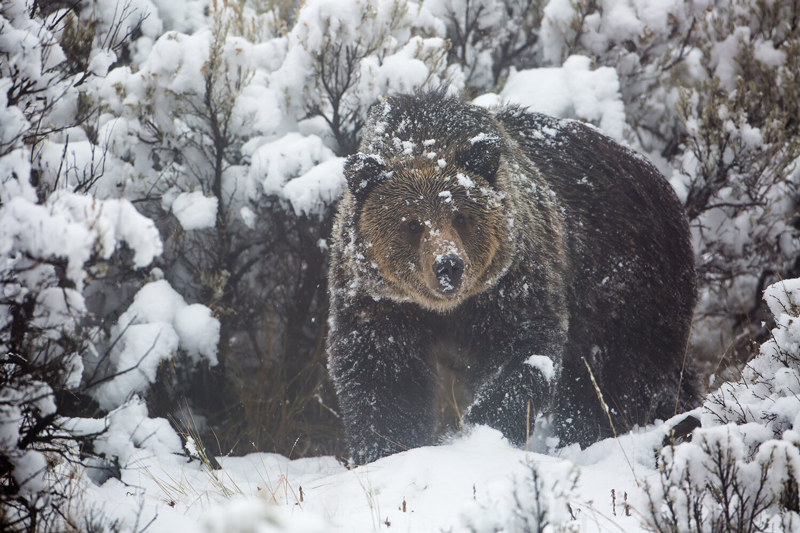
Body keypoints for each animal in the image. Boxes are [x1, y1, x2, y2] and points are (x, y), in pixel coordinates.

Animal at [324, 87, 692, 462]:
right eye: (412, 224)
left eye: (460, 217)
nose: (448, 265)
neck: (447, 310)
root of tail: (664, 186)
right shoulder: (379, 300)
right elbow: (383, 377)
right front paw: (387, 448)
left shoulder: (513, 280)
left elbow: (523, 352)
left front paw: (482, 432)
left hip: (623, 285)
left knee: (609, 378)